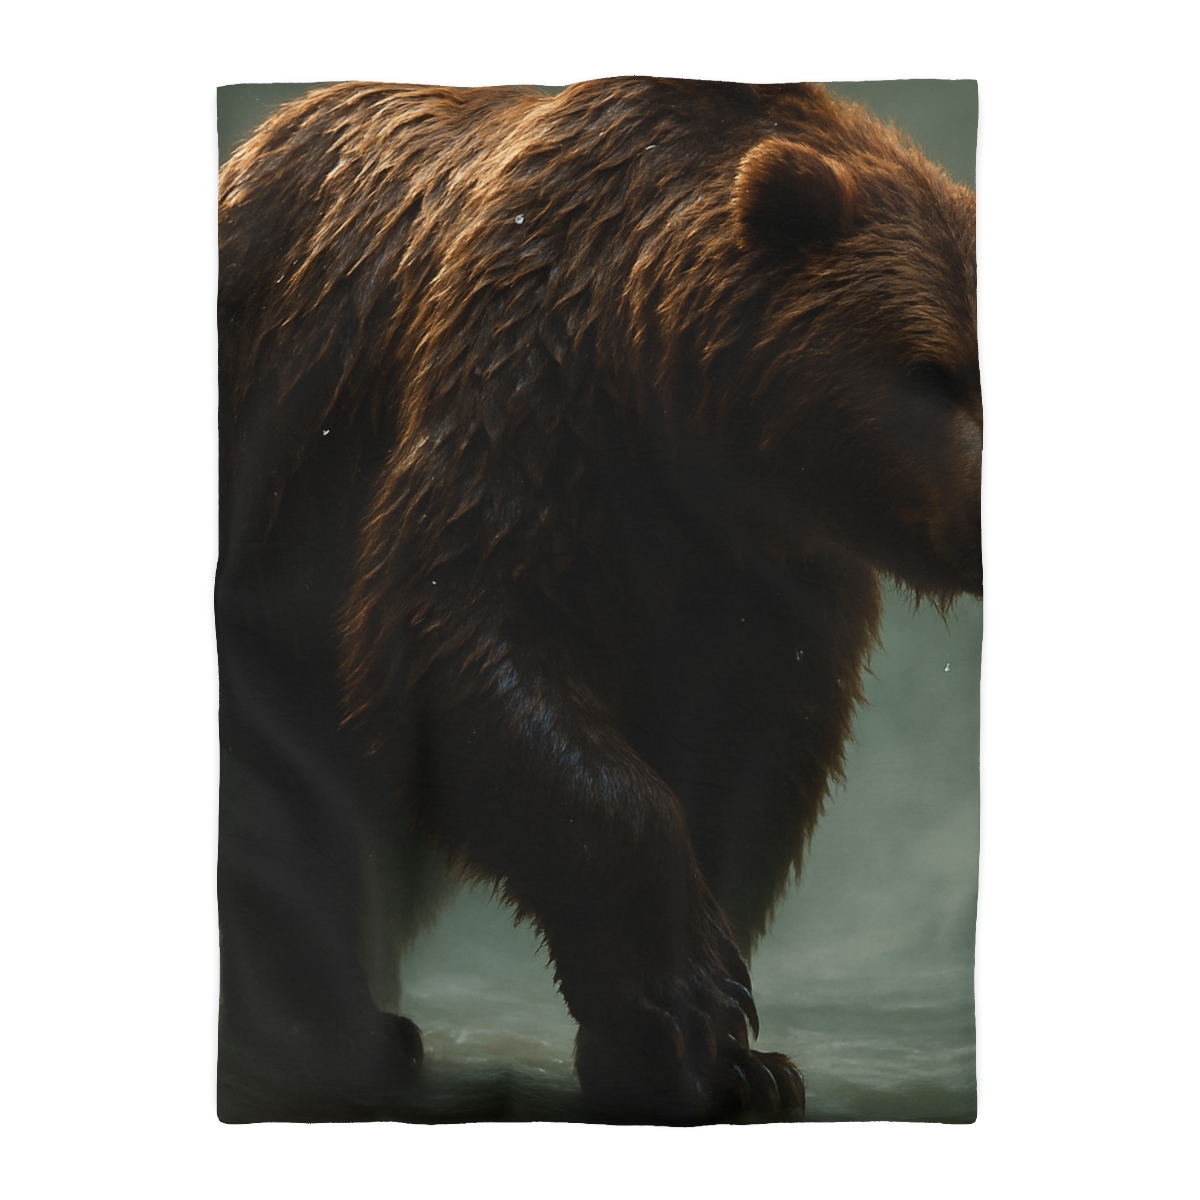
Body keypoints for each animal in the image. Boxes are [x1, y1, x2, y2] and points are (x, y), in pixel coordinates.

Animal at [216, 77, 981, 1124]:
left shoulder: (766, 573)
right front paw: (695, 1007)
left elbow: (745, 752)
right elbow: (462, 638)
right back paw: (330, 1038)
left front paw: (725, 1059)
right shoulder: (529, 397)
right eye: (934, 370)